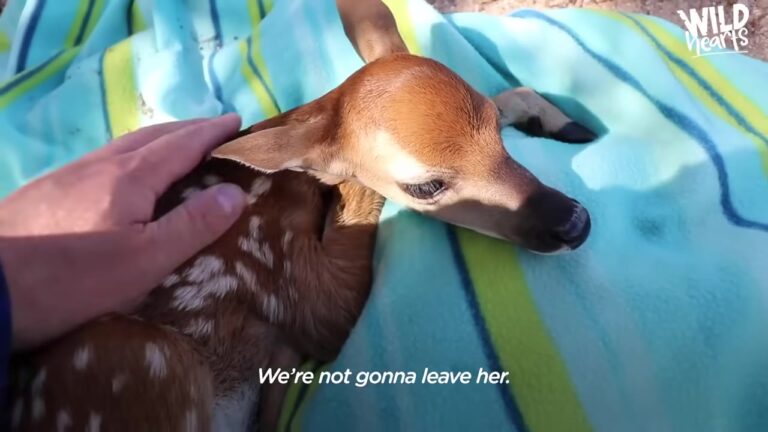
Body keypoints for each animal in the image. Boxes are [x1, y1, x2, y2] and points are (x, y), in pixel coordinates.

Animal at [8, 0, 595, 430]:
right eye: (426, 186)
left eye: (495, 129)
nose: (574, 222)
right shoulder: (292, 281)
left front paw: (563, 122)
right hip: (141, 359)